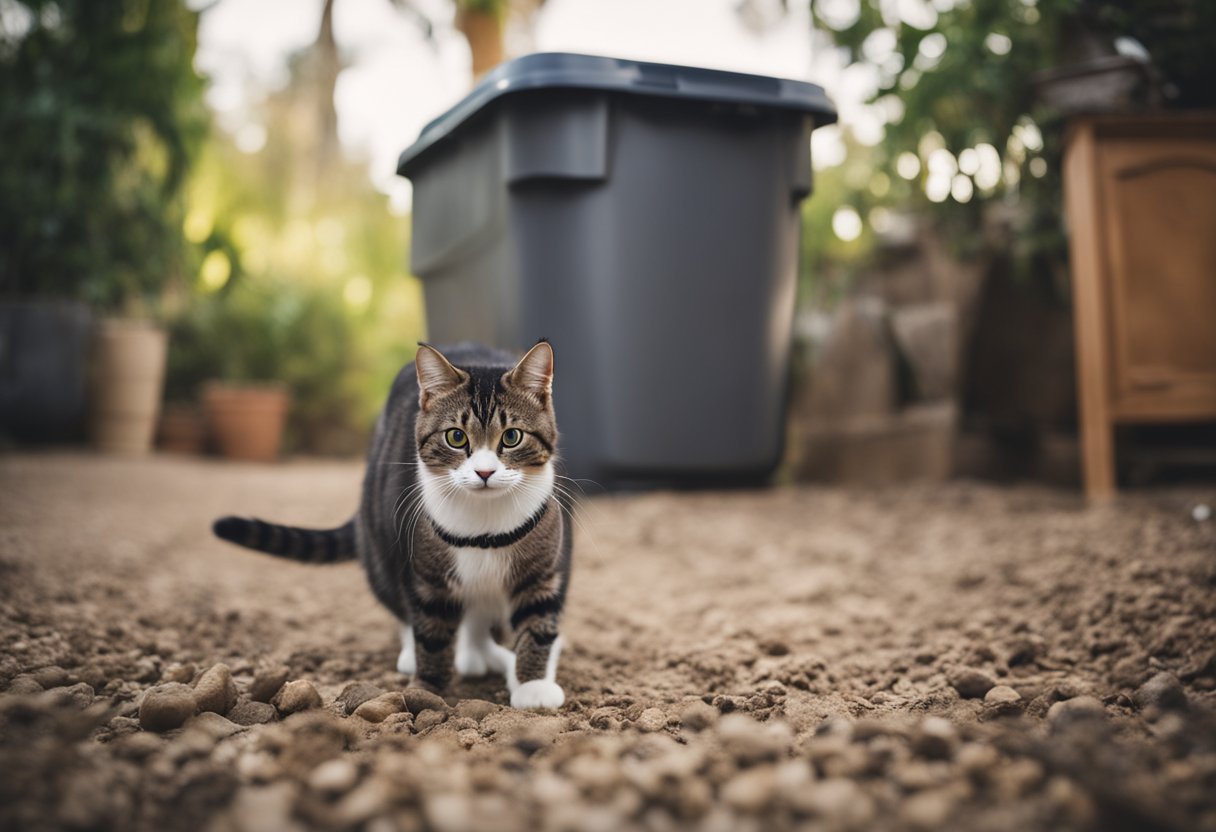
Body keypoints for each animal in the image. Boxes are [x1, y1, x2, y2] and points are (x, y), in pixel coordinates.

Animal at [211, 340, 571, 710]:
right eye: (456, 437)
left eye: (512, 437)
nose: (484, 472)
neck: (484, 524)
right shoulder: (424, 570)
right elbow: (430, 629)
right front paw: (426, 687)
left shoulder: (543, 568)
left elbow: (538, 621)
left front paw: (533, 683)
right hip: (382, 548)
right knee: (402, 602)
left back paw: (484, 655)